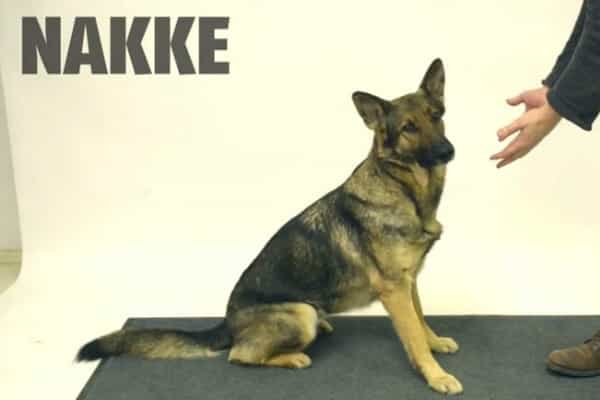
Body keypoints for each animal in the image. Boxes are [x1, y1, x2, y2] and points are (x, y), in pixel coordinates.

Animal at [77, 59, 462, 395]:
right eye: (409, 128)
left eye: (436, 116)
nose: (448, 151)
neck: (404, 189)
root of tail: (227, 321)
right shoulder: (394, 289)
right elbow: (413, 335)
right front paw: (436, 376)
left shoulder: (409, 281)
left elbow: (421, 321)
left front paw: (435, 343)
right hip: (300, 313)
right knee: (239, 355)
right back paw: (293, 357)